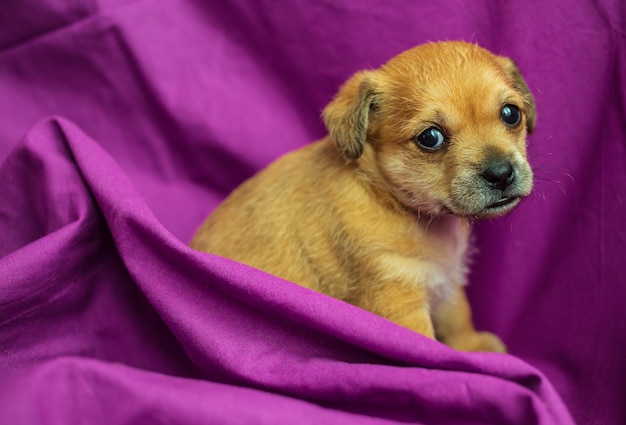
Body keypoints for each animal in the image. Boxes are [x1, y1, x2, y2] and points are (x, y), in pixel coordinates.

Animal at [190, 40, 532, 352]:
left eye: (511, 114)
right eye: (430, 138)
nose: (501, 172)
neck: (389, 198)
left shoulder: (446, 279)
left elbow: (458, 315)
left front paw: (474, 347)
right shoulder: (397, 298)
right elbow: (426, 343)